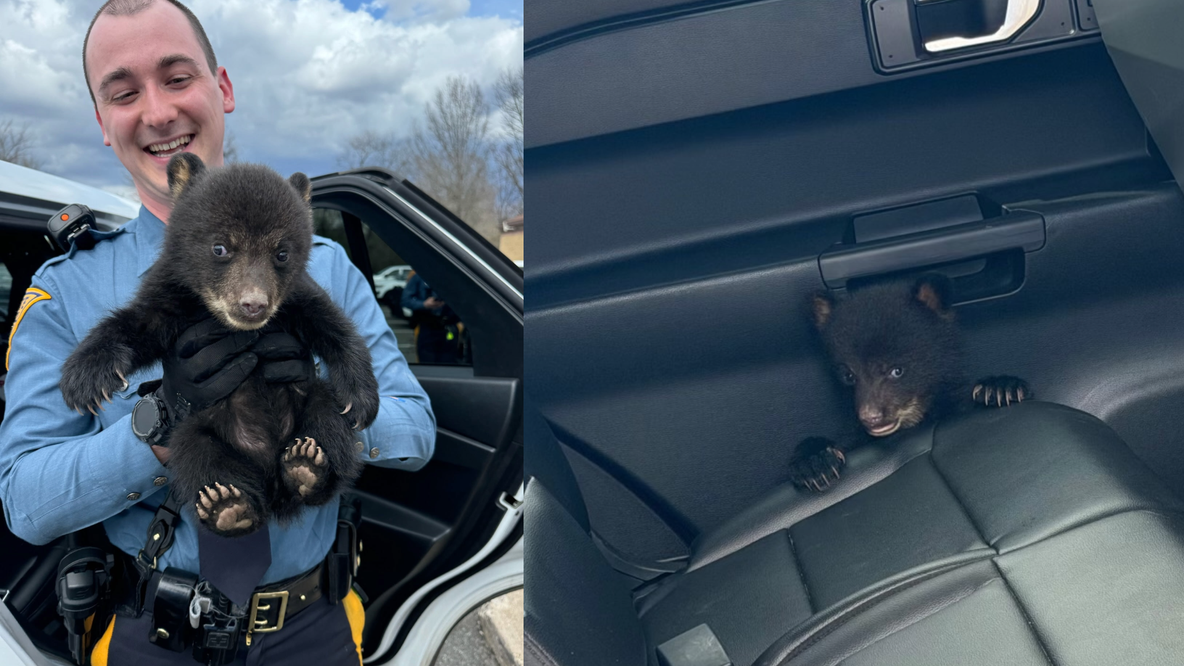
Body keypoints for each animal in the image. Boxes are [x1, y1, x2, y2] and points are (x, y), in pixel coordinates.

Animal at [58, 152, 379, 537]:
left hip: (312, 401)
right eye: (220, 247)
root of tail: (271, 482)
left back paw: (308, 466)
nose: (253, 304)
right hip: (199, 430)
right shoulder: (172, 296)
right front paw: (84, 379)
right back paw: (228, 506)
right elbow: (138, 325)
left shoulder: (295, 298)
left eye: (282, 253)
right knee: (197, 455)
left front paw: (361, 399)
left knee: (328, 421)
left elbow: (334, 326)